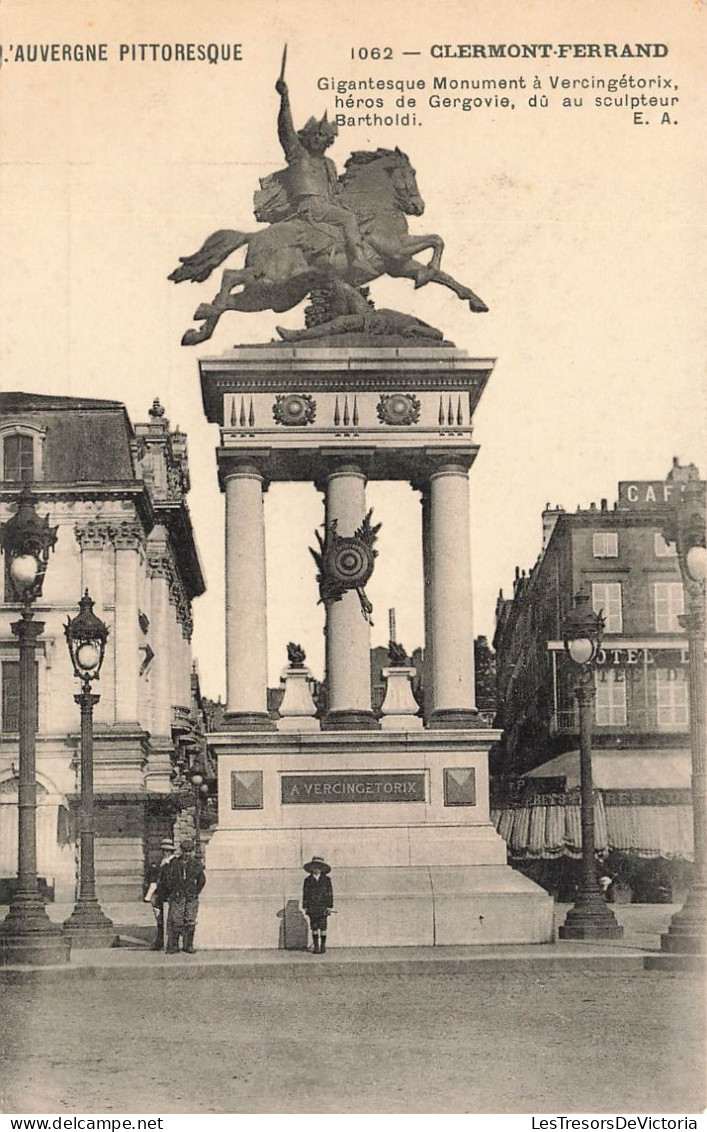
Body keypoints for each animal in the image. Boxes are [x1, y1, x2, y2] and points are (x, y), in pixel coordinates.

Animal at [168, 148, 488, 346]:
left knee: (232, 300)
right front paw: (427, 275)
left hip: (275, 296)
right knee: (229, 277)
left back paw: (199, 329)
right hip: (271, 278)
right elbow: (437, 241)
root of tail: (254, 236)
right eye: (411, 172)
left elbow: (444, 274)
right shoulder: (396, 249)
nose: (418, 207)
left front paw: (475, 301)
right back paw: (205, 310)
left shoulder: (399, 264)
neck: (375, 205)